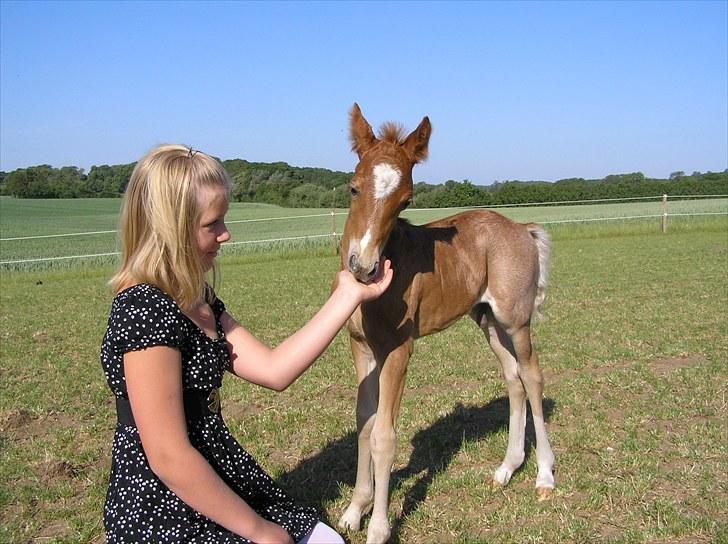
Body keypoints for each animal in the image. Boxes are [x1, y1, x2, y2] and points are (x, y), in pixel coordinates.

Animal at [338, 104, 556, 540]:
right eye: (353, 188)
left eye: (405, 200)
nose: (364, 267)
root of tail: (522, 228)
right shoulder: (361, 347)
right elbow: (364, 423)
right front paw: (355, 511)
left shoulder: (398, 351)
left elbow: (384, 435)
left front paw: (379, 528)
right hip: (488, 321)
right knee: (513, 378)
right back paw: (506, 469)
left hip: (515, 320)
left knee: (532, 375)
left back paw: (544, 475)